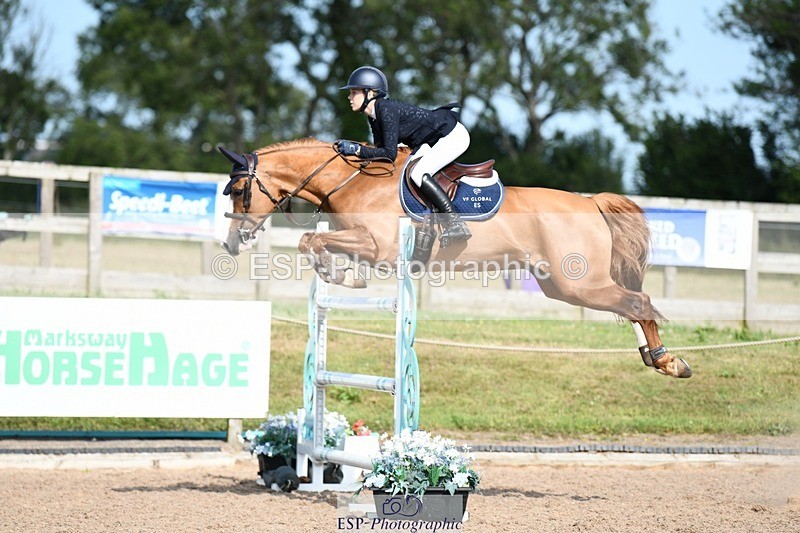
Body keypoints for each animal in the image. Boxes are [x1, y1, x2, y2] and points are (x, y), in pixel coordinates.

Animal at [218, 138, 692, 379]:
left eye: (239, 190)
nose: (232, 243)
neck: (349, 180)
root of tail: (590, 201)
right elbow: (312, 243)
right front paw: (340, 274)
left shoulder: (379, 247)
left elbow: (310, 243)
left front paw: (344, 277)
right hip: (563, 285)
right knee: (629, 303)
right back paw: (656, 357)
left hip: (578, 282)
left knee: (638, 301)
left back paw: (668, 361)